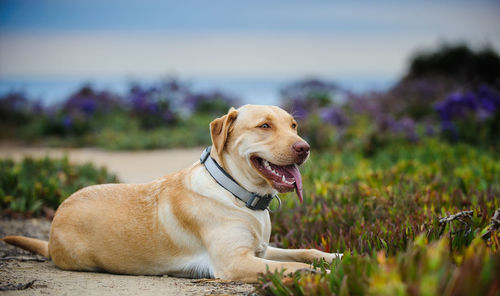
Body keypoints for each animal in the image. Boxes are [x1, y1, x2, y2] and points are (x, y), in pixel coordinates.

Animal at [2, 104, 340, 282]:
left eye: (293, 125)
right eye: (265, 126)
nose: (305, 147)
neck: (237, 193)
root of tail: (53, 225)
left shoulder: (261, 250)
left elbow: (305, 252)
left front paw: (337, 257)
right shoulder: (235, 262)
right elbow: (292, 266)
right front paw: (320, 274)